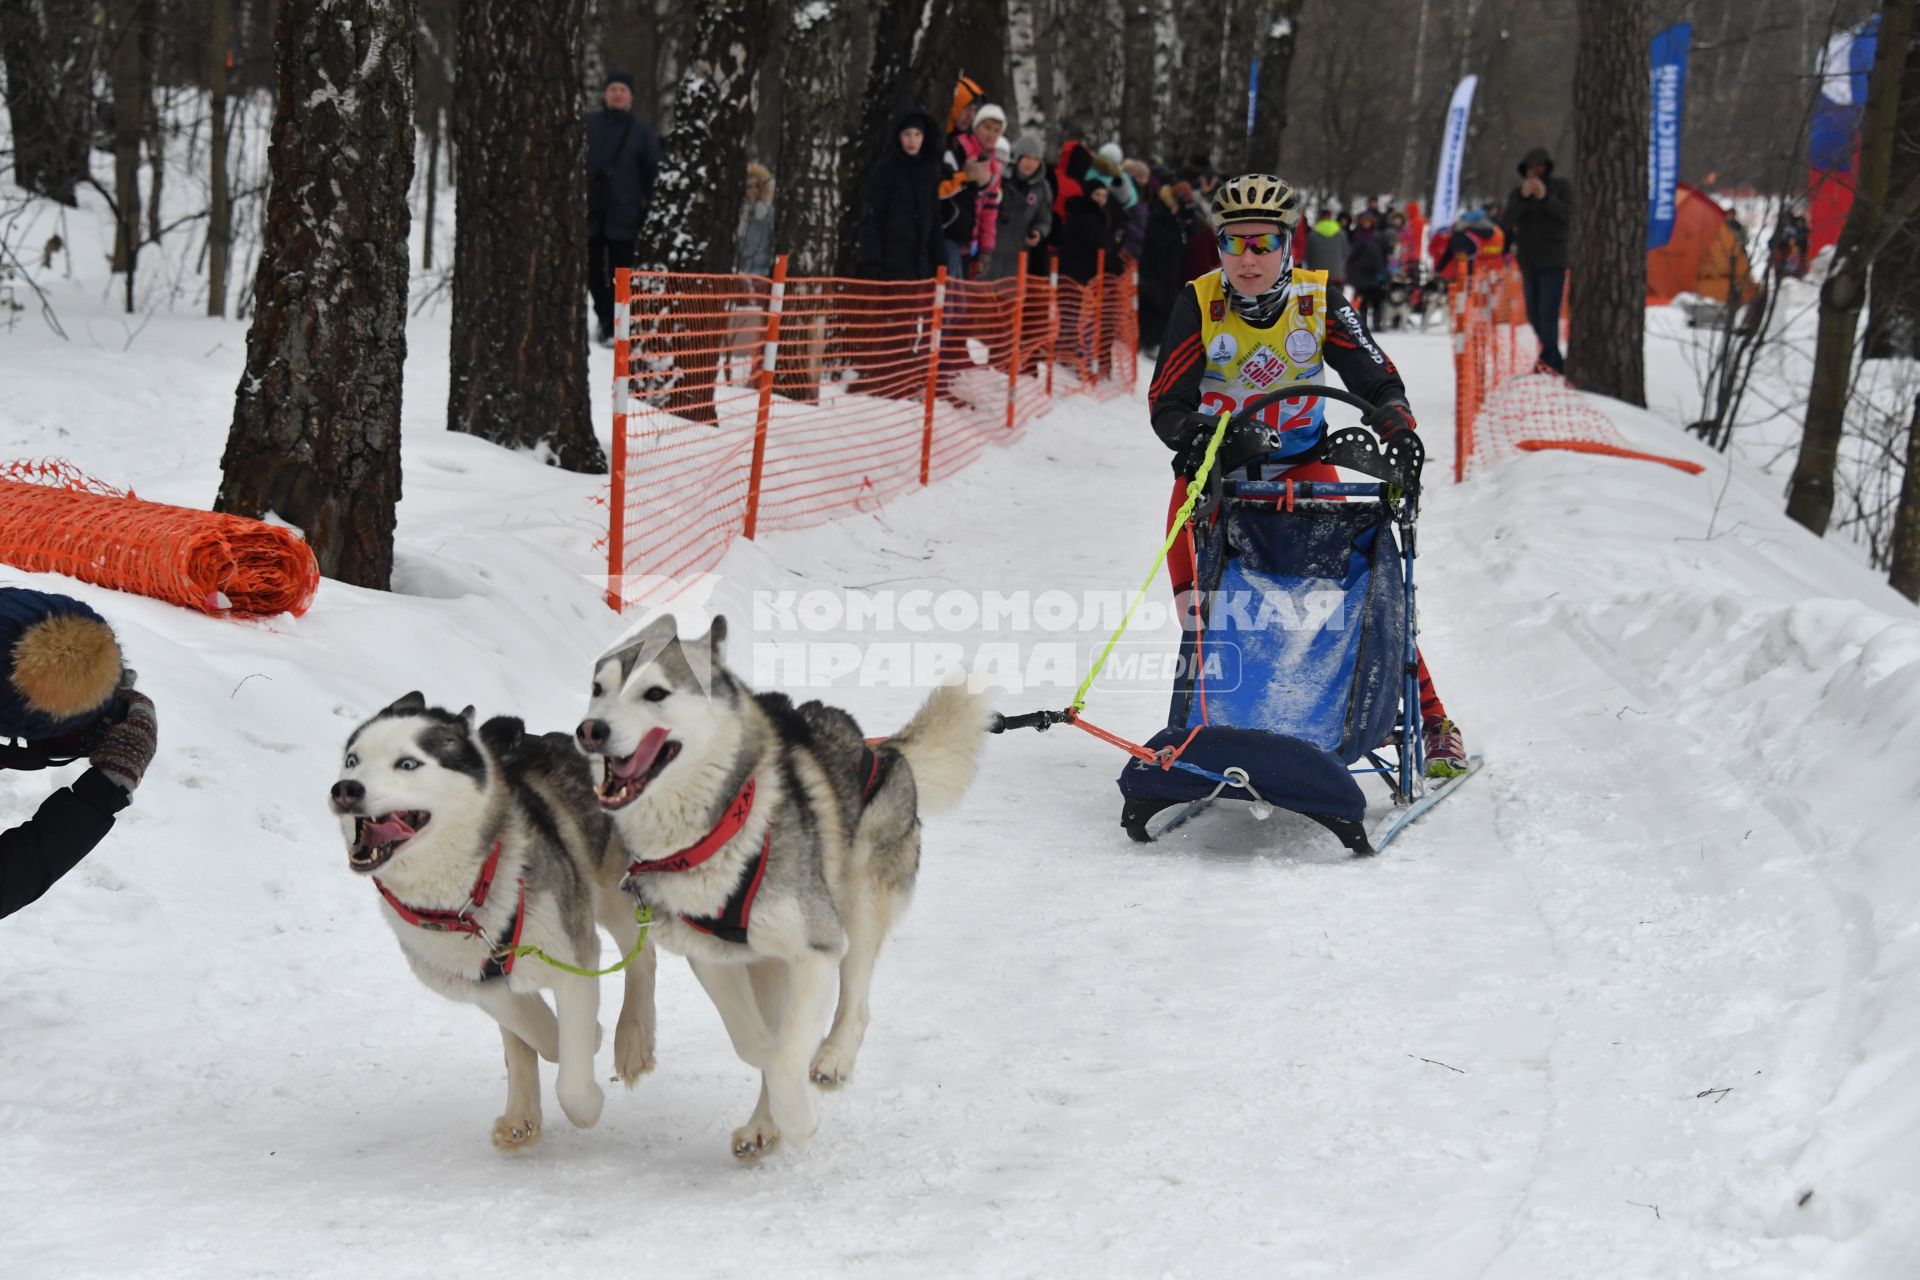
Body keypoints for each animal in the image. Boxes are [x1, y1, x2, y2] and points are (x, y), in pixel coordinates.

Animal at [332, 694, 660, 1159]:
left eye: (407, 764)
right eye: (352, 761)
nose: (345, 790)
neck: (464, 902)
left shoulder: (573, 955)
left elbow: (571, 1078)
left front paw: (588, 1098)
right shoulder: (475, 983)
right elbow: (536, 1033)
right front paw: (574, 1041)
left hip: (611, 892)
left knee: (643, 956)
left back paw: (633, 1040)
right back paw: (521, 1114)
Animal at [576, 617, 983, 1159]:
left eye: (655, 692)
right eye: (597, 690)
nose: (590, 730)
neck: (717, 832)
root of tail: (881, 749)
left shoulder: (816, 948)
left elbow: (789, 1050)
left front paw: (799, 1118)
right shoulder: (712, 958)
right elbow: (757, 1042)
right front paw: (771, 1096)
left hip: (858, 909)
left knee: (856, 1003)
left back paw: (832, 1058)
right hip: (769, 961)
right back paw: (762, 1123)